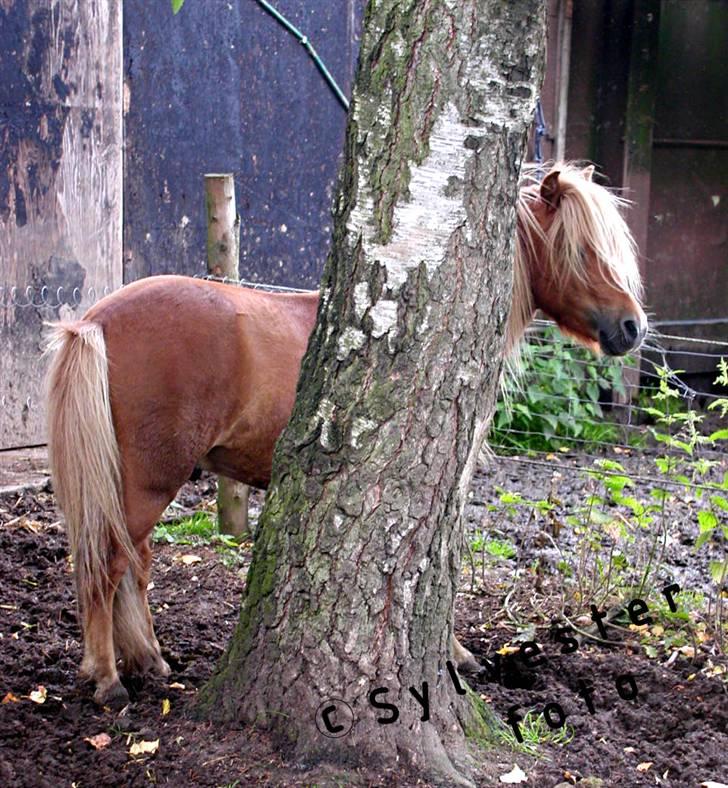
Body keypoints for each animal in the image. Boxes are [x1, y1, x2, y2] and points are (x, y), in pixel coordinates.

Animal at [47, 165, 648, 700]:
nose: (633, 327)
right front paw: (454, 654)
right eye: (582, 251)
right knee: (107, 564)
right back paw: (108, 679)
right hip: (148, 485)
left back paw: (149, 661)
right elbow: (439, 573)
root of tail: (95, 322)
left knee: (133, 566)